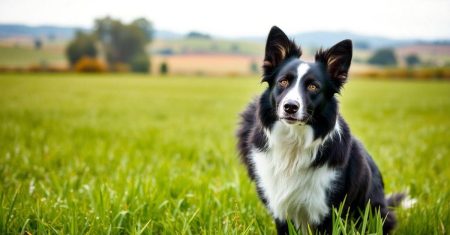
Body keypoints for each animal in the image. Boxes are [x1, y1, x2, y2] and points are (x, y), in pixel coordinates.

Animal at [237, 26, 402, 234]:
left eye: (313, 86)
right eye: (283, 82)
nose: (290, 107)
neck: (294, 142)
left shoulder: (326, 211)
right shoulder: (281, 209)